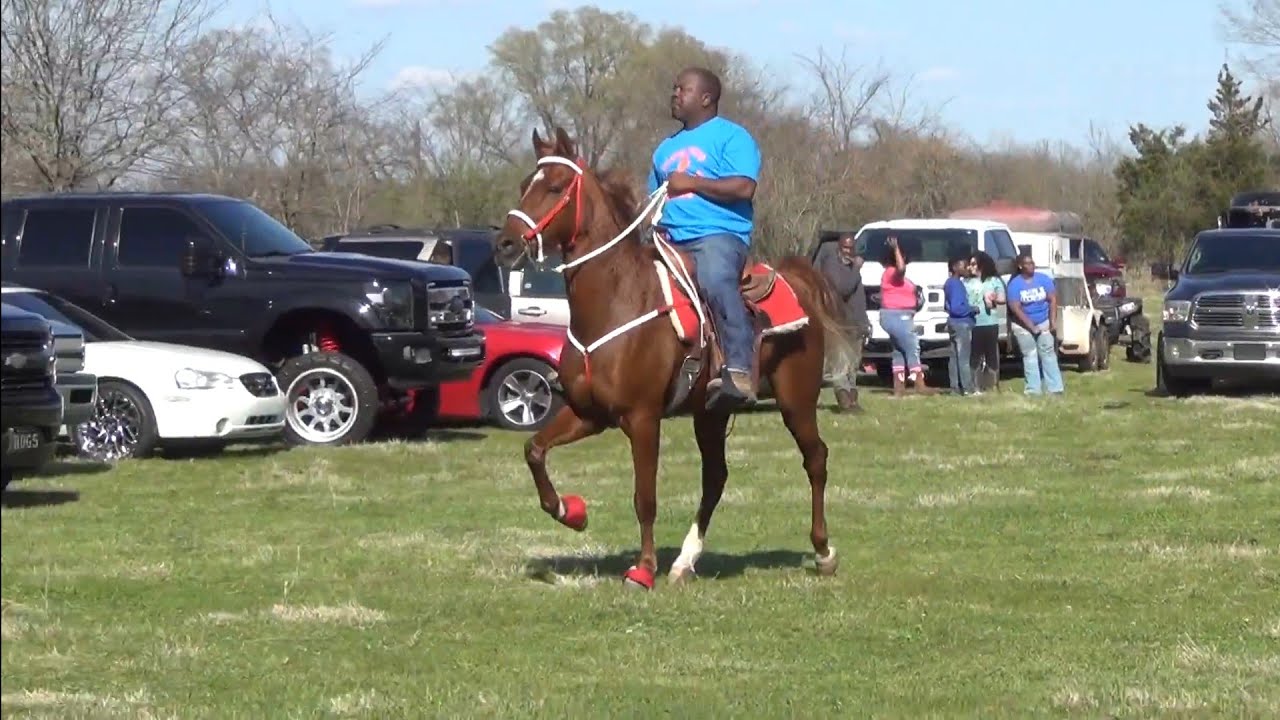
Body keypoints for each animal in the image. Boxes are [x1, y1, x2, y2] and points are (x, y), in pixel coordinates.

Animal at [493, 126, 857, 590]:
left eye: (555, 186)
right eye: (526, 184)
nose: (504, 243)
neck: (616, 300)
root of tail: (796, 279)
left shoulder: (642, 418)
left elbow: (644, 497)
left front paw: (643, 569)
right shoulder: (590, 413)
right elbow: (534, 450)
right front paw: (570, 512)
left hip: (796, 399)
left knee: (816, 459)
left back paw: (824, 551)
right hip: (710, 412)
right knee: (716, 477)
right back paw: (686, 561)